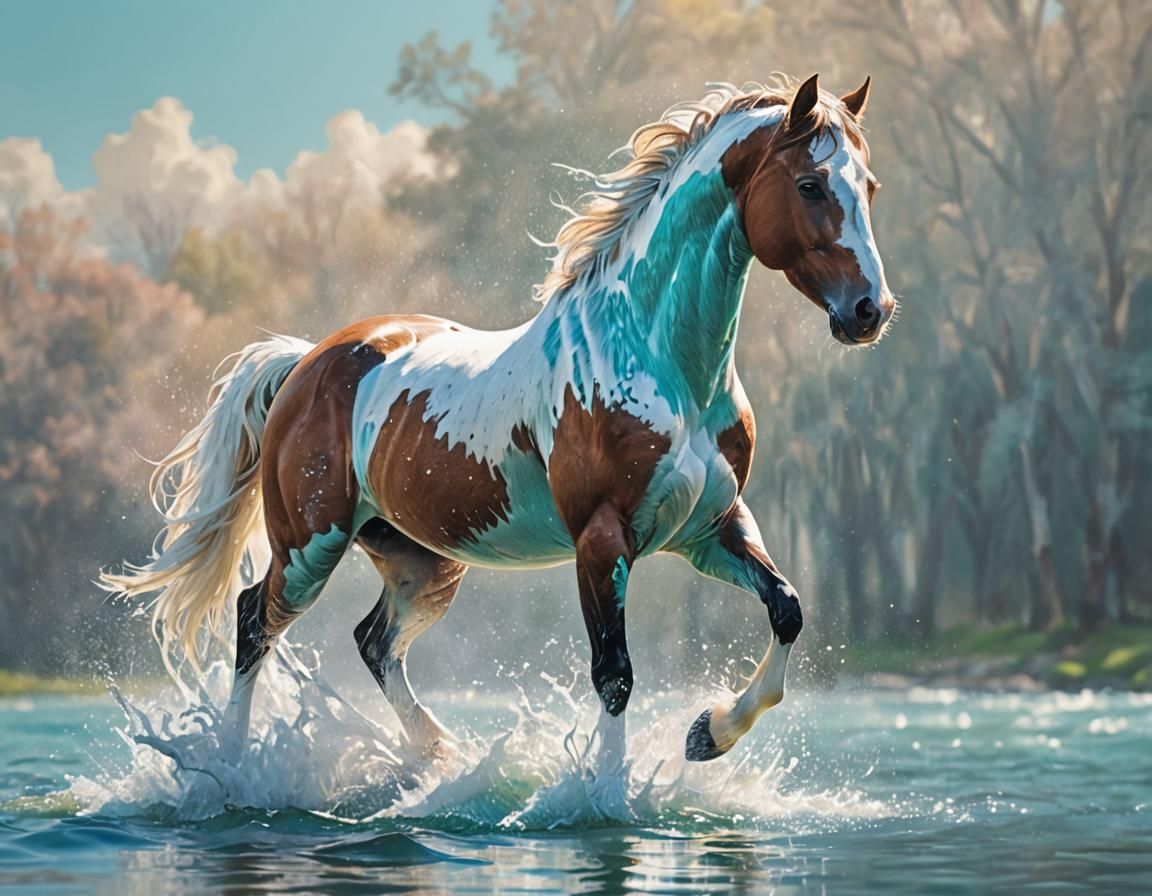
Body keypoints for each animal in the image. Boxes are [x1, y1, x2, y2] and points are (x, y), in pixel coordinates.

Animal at [103, 74, 893, 766]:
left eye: (869, 188)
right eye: (810, 185)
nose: (870, 312)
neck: (660, 361)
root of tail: (306, 363)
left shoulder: (711, 528)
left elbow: (787, 609)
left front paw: (708, 734)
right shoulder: (601, 541)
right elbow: (615, 676)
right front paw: (608, 802)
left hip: (422, 559)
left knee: (373, 642)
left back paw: (438, 760)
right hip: (309, 547)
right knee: (252, 624)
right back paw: (232, 772)